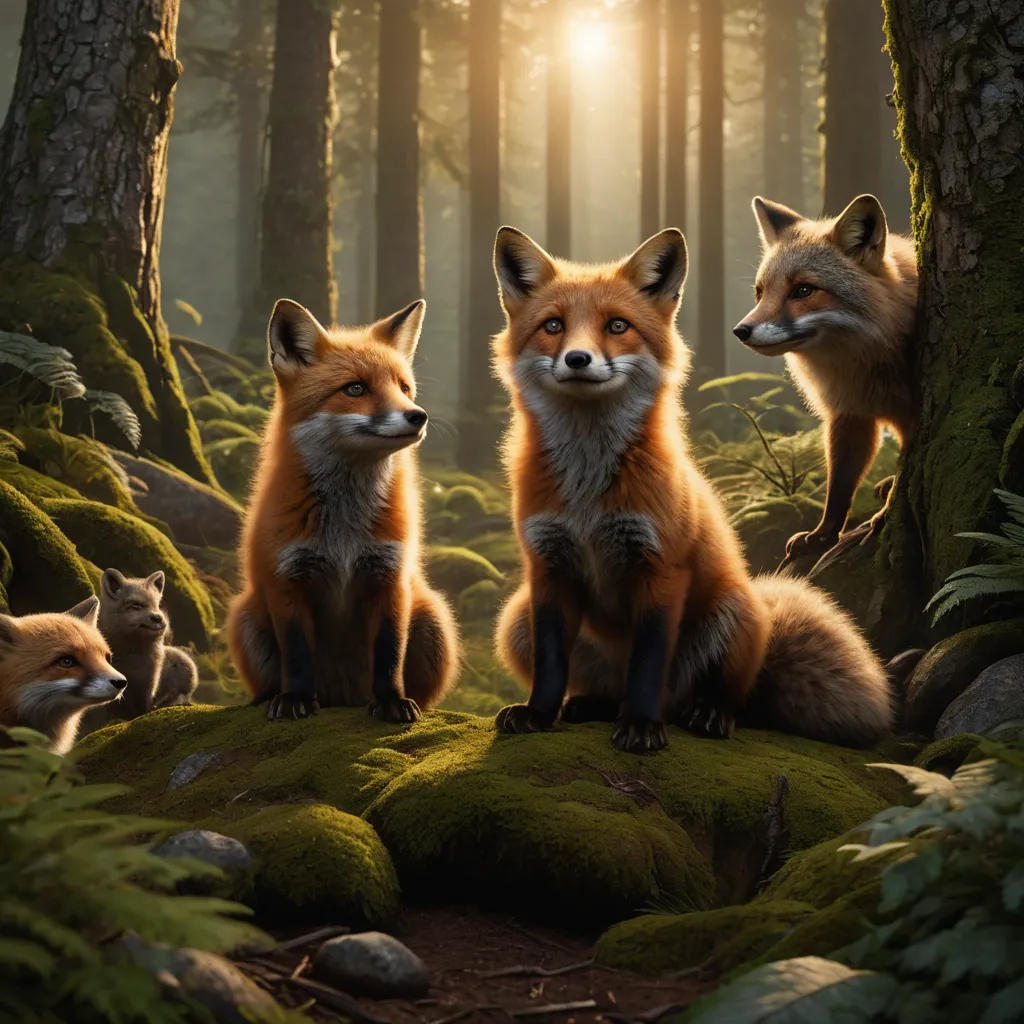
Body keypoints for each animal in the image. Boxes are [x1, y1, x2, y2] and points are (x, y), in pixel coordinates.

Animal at [227, 298, 459, 721]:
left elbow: (389, 653)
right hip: (246, 616)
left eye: (404, 388)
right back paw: (270, 696)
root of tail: (343, 697)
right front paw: (296, 699)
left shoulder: (390, 577)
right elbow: (297, 655)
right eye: (355, 388)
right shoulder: (286, 580)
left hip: (433, 618)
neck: (343, 535)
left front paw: (391, 701)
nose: (418, 415)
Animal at [490, 225, 892, 752]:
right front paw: (538, 713)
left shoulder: (662, 568)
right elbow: (551, 662)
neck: (587, 494)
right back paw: (591, 705)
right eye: (553, 326)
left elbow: (647, 664)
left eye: (617, 326)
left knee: (712, 697)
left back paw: (706, 713)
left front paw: (641, 726)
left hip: (732, 610)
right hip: (516, 618)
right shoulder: (548, 567)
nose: (578, 359)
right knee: (605, 689)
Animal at [733, 194, 919, 561]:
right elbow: (839, 487)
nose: (740, 331)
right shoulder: (849, 415)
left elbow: (906, 471)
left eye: (803, 290)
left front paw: (887, 513)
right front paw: (823, 535)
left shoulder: (915, 413)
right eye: (760, 293)